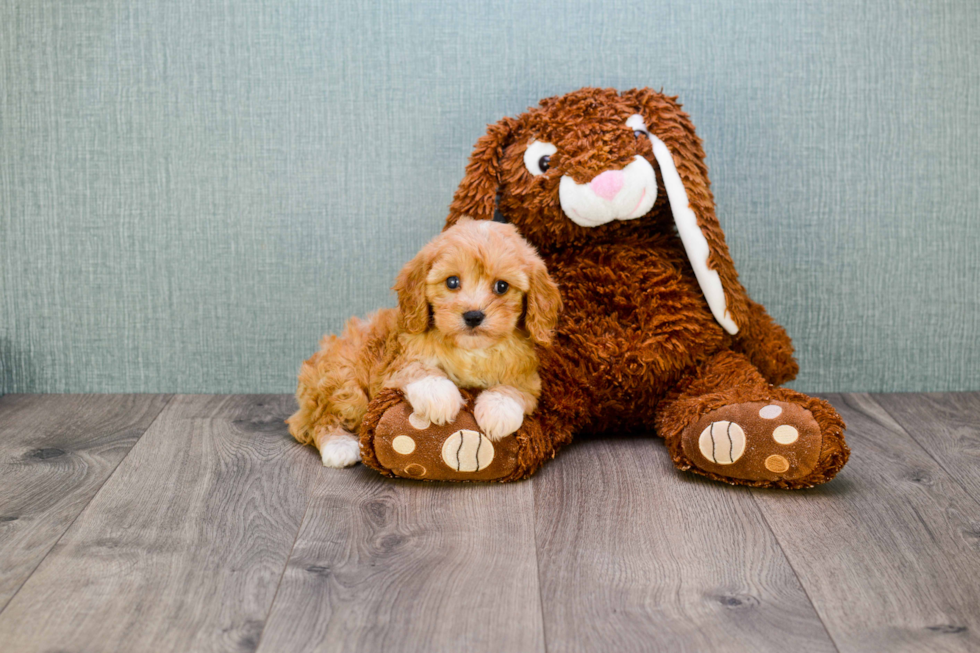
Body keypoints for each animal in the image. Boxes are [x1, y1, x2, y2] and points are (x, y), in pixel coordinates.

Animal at [286, 219, 560, 468]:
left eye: (502, 286)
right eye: (452, 282)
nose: (473, 315)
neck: (471, 351)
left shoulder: (528, 378)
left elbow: (514, 389)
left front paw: (498, 411)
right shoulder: (397, 363)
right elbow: (420, 369)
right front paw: (439, 396)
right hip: (344, 382)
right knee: (316, 420)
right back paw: (339, 445)